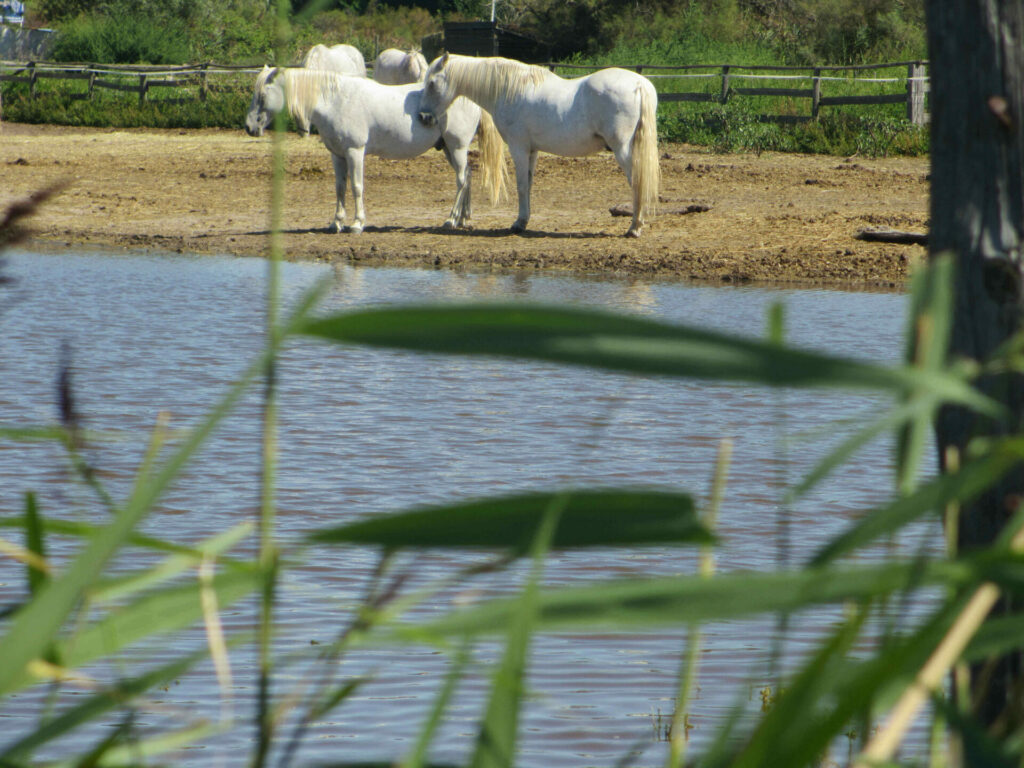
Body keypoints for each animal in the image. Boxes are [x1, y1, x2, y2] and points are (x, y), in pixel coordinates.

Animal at [243, 66, 507, 234]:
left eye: (263, 94)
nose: (250, 126)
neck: (335, 100)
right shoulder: (337, 155)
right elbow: (339, 188)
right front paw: (336, 223)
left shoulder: (355, 151)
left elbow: (356, 187)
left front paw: (357, 224)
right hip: (448, 150)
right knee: (468, 176)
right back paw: (463, 218)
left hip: (457, 147)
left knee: (461, 180)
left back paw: (451, 219)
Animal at [417, 52, 663, 237]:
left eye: (432, 83)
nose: (423, 117)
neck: (509, 88)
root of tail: (639, 84)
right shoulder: (532, 151)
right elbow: (529, 184)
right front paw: (524, 220)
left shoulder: (519, 148)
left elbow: (521, 185)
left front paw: (518, 224)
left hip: (622, 150)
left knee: (637, 181)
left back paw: (634, 228)